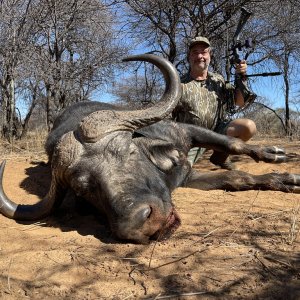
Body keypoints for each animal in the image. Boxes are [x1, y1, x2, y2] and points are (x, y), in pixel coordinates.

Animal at [0, 54, 300, 244]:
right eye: (83, 189)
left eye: (127, 151)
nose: (141, 222)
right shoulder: (189, 177)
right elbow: (236, 179)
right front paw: (282, 180)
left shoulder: (188, 132)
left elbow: (234, 143)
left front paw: (279, 163)